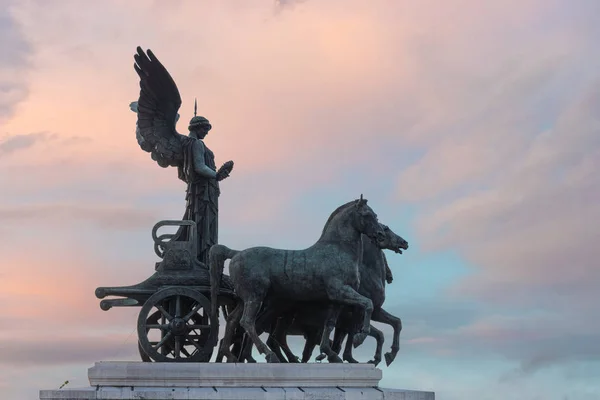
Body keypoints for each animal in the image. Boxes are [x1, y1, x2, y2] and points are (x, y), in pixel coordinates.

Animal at [209, 197, 382, 362]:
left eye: (375, 215)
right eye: (367, 215)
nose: (380, 233)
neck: (337, 250)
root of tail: (235, 253)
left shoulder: (337, 300)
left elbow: (330, 324)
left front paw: (331, 354)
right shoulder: (341, 291)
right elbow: (368, 303)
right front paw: (359, 337)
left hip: (243, 300)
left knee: (232, 320)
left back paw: (230, 355)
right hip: (255, 297)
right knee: (247, 322)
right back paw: (269, 355)